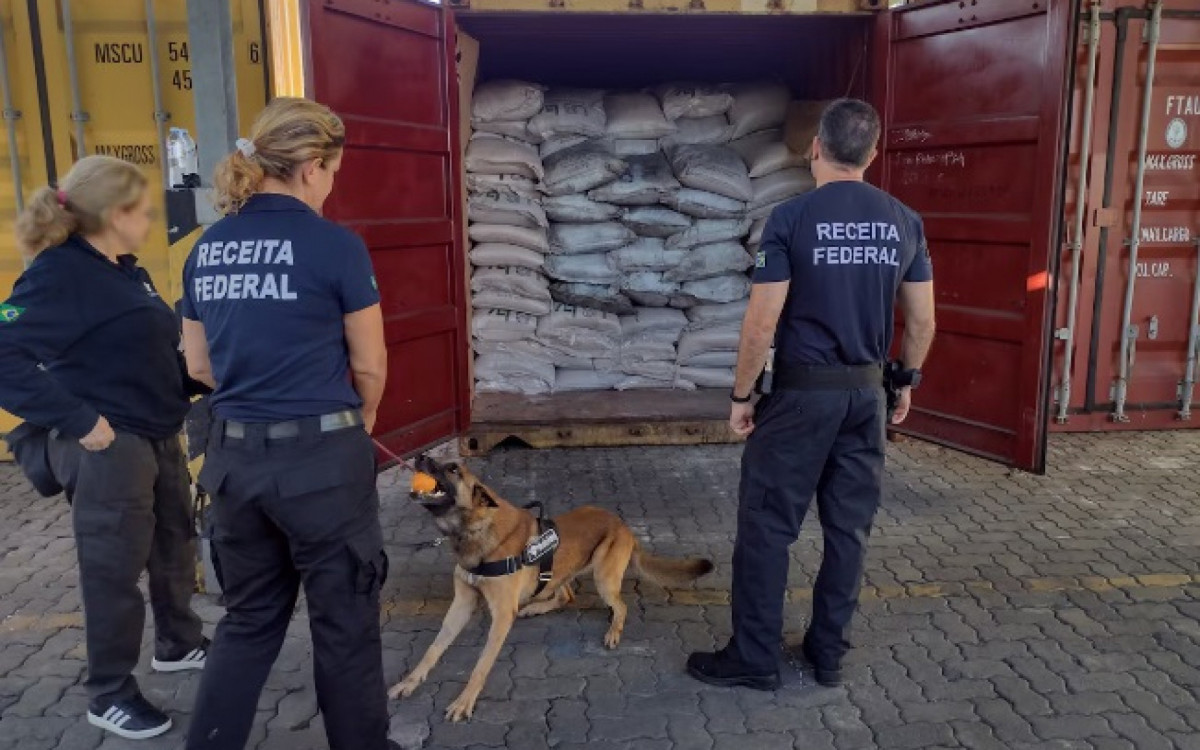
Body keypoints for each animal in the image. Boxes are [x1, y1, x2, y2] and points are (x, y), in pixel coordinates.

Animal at [391, 453, 710, 724]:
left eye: (453, 469)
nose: (419, 457)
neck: (473, 530)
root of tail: (624, 526)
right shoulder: (461, 605)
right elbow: (433, 649)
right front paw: (410, 682)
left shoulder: (501, 616)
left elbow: (481, 665)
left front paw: (464, 701)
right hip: (562, 571)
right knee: (566, 595)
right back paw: (534, 607)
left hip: (603, 578)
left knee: (619, 605)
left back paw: (613, 630)